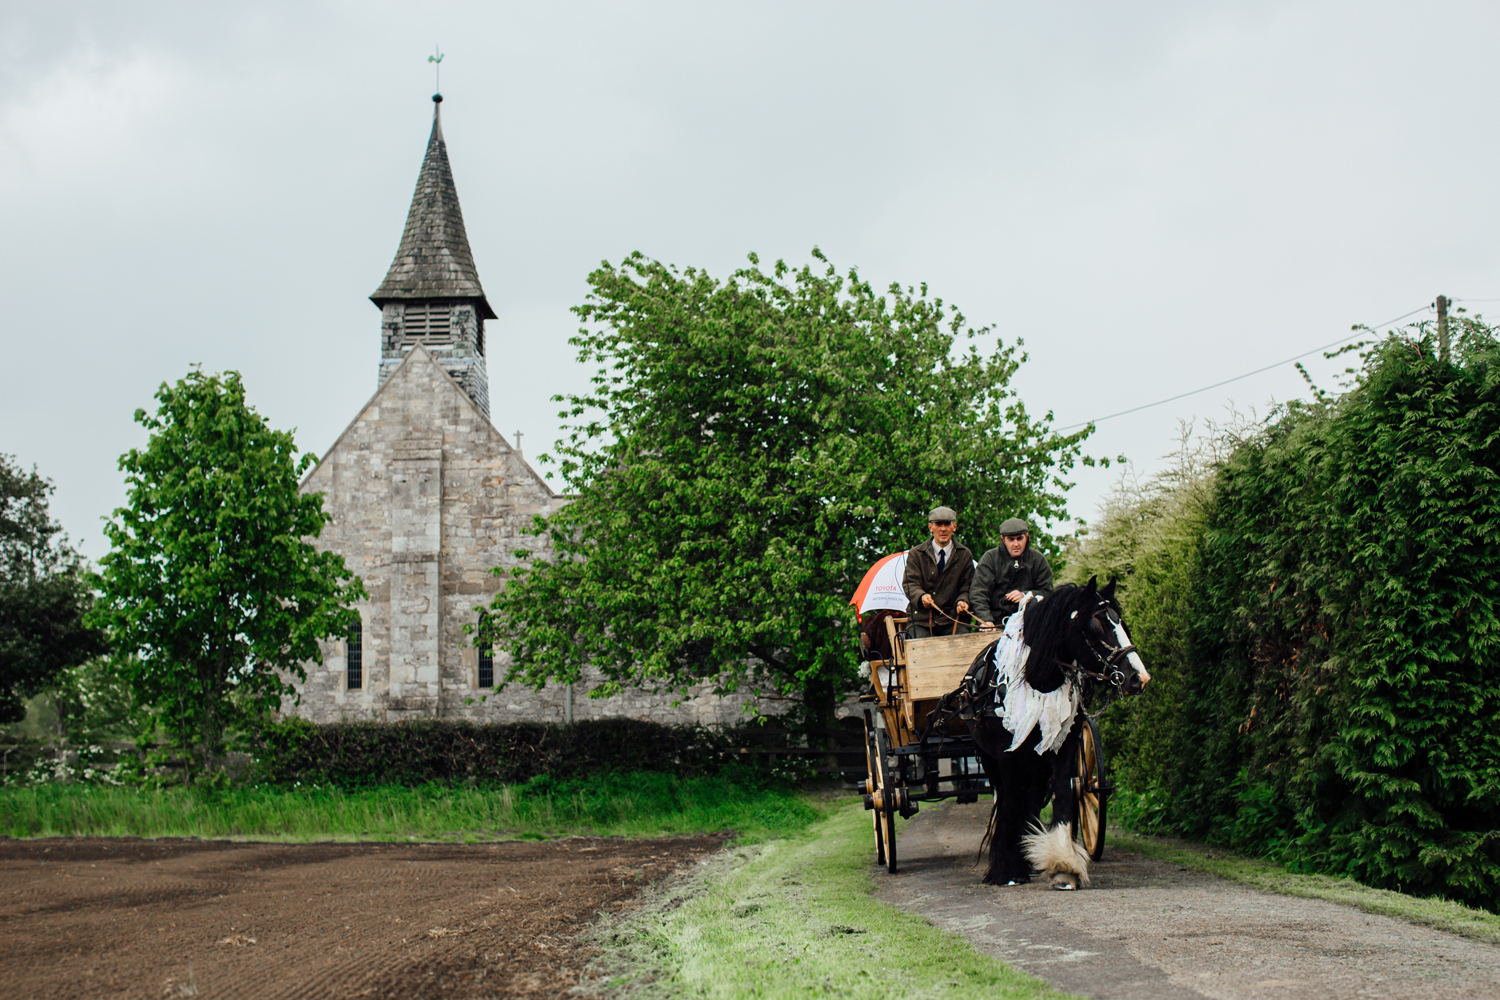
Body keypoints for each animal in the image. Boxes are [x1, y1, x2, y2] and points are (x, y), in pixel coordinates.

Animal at [936, 578, 1146, 893]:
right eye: (1096, 625)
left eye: (1122, 624)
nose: (1138, 678)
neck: (1038, 679)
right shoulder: (1006, 756)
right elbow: (1010, 804)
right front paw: (1006, 870)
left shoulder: (1063, 747)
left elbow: (1062, 797)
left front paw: (1064, 867)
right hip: (993, 759)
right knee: (1008, 797)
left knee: (1033, 798)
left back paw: (1031, 852)